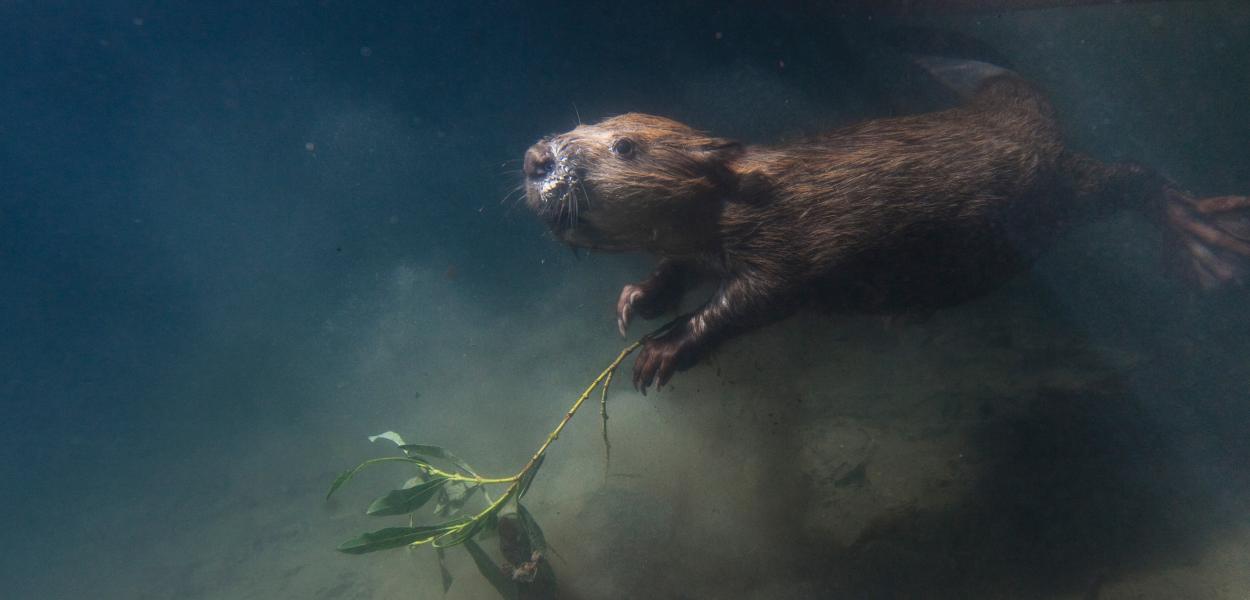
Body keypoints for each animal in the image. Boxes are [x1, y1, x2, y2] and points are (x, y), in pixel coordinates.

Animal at [522, 58, 1245, 395]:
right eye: (588, 125)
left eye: (623, 147)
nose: (536, 158)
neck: (758, 185)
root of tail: (1015, 115)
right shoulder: (702, 243)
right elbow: (678, 266)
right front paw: (633, 302)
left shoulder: (795, 237)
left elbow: (753, 298)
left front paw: (660, 352)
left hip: (1057, 188)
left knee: (1132, 179)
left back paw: (1205, 241)